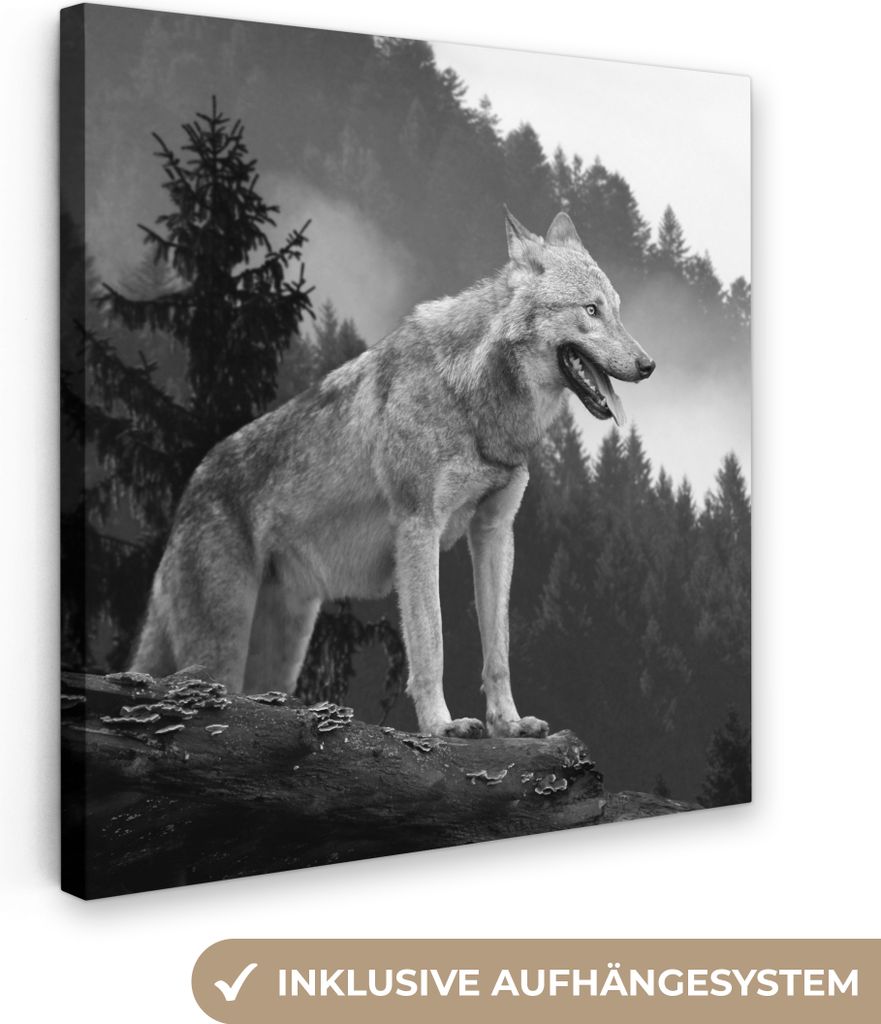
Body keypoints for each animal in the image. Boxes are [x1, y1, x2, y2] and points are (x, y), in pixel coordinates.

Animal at [130, 209, 654, 738]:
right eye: (590, 310)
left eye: (617, 310)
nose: (649, 364)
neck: (472, 397)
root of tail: (189, 489)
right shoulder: (418, 528)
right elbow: (431, 643)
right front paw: (441, 726)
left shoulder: (495, 531)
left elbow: (498, 649)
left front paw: (508, 723)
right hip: (221, 649)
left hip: (283, 650)